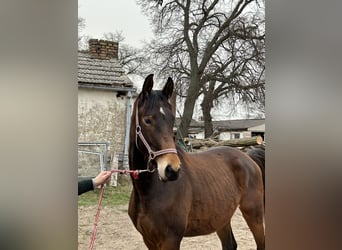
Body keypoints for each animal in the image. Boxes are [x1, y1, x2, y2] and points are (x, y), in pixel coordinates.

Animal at [128, 74, 264, 250]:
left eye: (172, 120)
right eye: (147, 120)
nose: (172, 170)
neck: (148, 191)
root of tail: (249, 158)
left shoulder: (171, 240)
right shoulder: (149, 240)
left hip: (254, 214)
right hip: (221, 217)